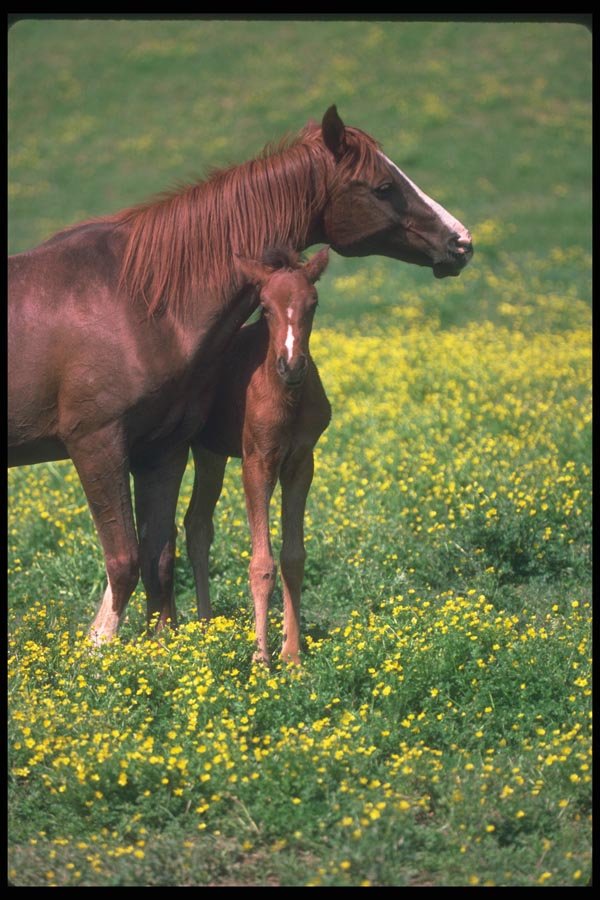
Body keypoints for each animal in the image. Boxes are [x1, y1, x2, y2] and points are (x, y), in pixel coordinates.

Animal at [185, 245, 331, 665]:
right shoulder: (257, 462)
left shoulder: (301, 462)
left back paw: (206, 625)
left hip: (212, 454)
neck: (286, 397)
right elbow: (261, 563)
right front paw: (261, 658)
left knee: (196, 525)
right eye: (264, 307)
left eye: (313, 303)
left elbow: (293, 557)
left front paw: (293, 655)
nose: (292, 365)